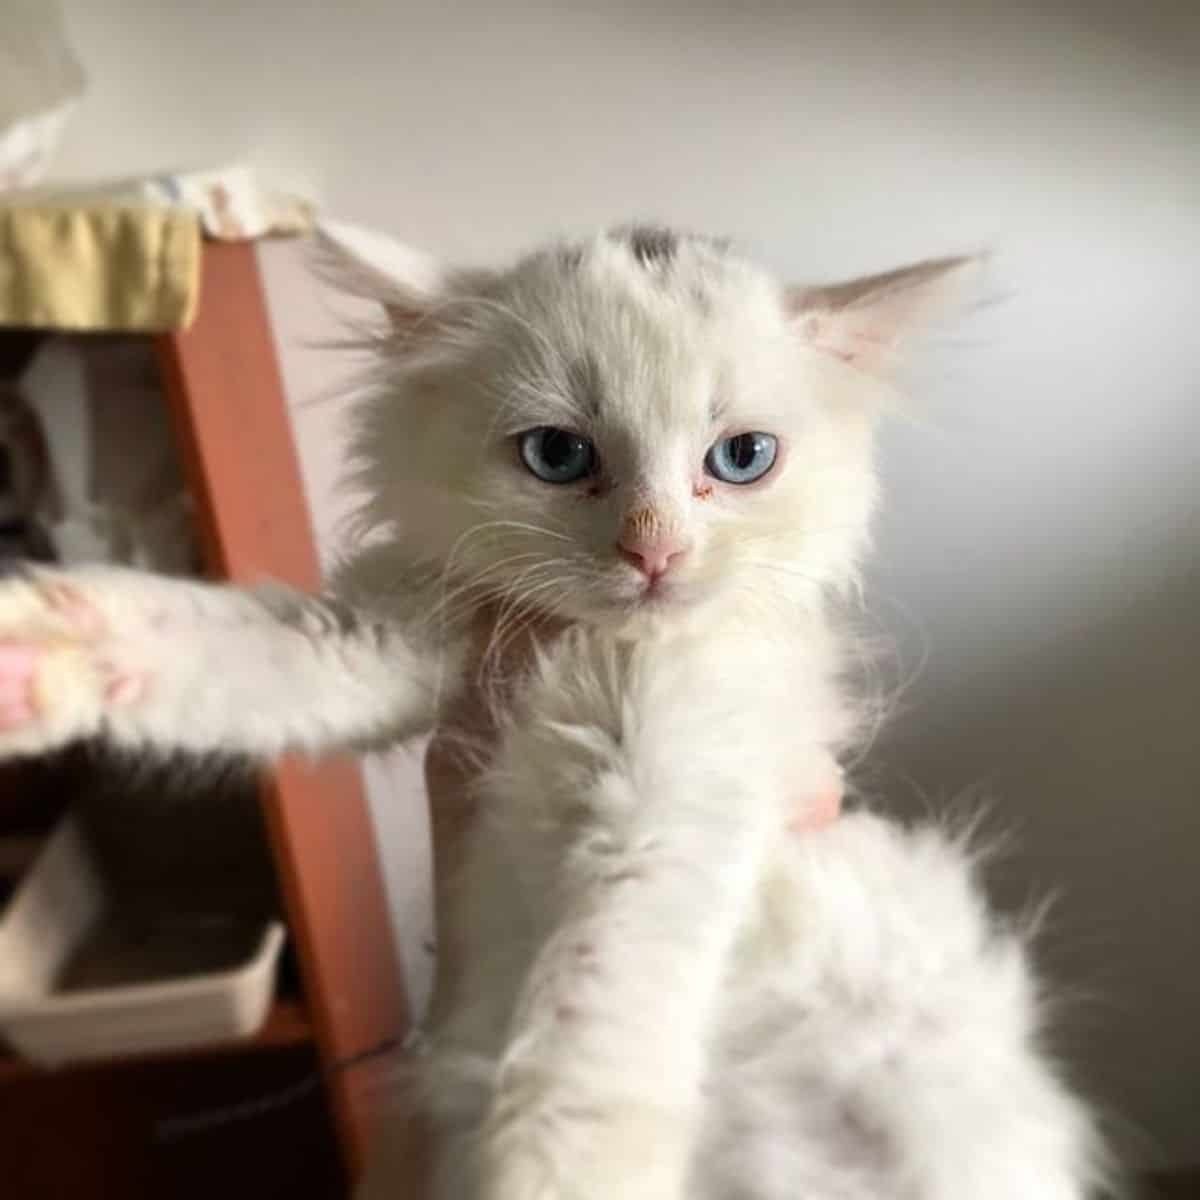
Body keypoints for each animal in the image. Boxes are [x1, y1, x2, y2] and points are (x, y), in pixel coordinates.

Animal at [0, 223, 1108, 1190]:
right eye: (558, 456)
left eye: (742, 458)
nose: (653, 551)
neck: (588, 648)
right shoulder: (389, 633)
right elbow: (217, 648)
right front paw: (31, 656)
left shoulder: (671, 793)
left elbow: (587, 1019)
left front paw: (551, 1178)